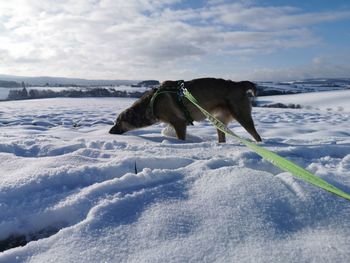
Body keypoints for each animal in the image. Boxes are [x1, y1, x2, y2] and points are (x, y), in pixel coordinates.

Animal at [110, 78, 262, 143]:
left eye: (118, 122)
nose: (109, 132)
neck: (150, 104)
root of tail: (239, 84)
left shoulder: (179, 122)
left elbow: (181, 137)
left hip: (242, 115)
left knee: (256, 135)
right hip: (218, 120)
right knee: (222, 136)